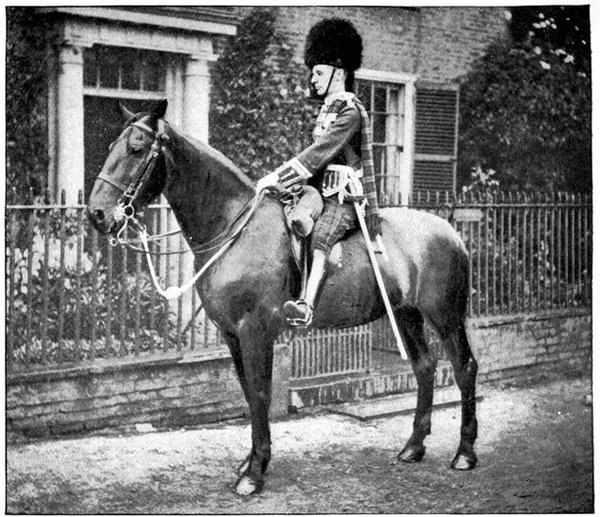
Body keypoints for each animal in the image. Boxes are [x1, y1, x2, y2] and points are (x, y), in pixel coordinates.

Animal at [87, 100, 478, 496]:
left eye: (136, 149)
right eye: (111, 147)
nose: (97, 213)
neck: (235, 226)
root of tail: (452, 232)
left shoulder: (255, 331)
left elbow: (261, 393)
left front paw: (254, 471)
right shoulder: (232, 334)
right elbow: (248, 392)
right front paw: (251, 460)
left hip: (445, 316)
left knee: (464, 368)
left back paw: (464, 453)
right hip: (406, 314)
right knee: (425, 367)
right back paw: (414, 446)